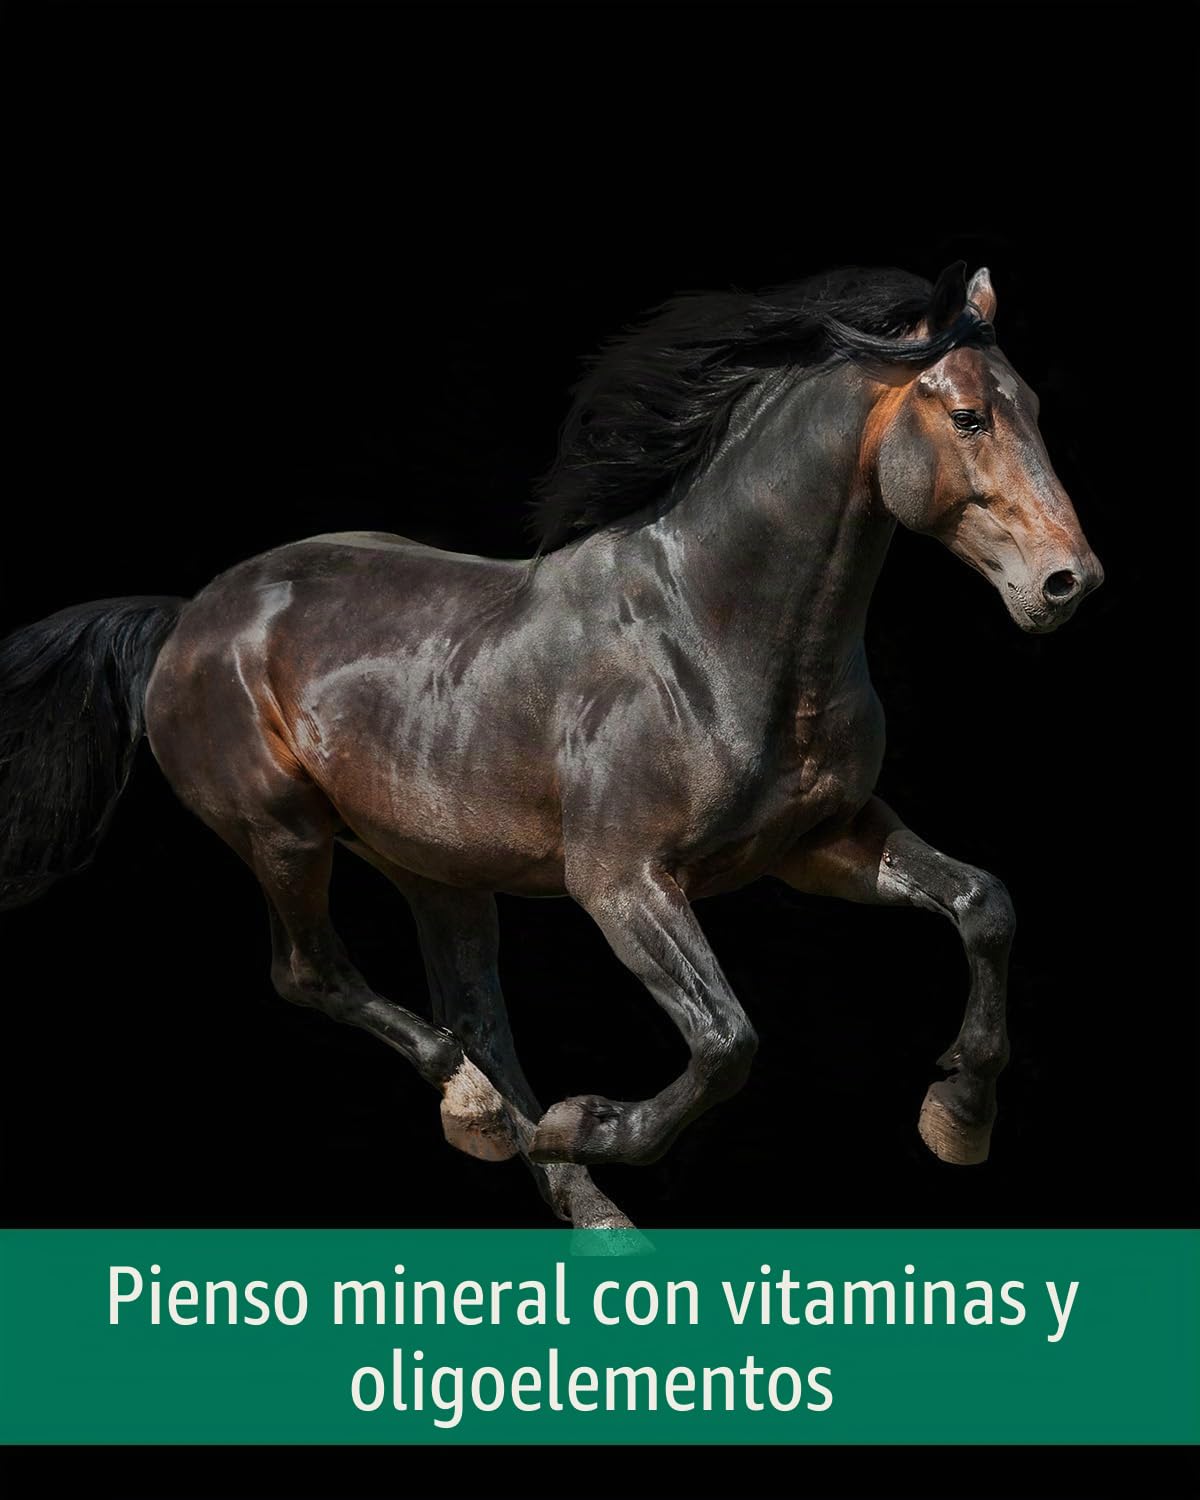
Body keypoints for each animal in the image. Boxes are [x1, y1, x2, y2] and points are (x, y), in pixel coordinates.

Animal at [0, 262, 1102, 1231]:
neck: (710, 630)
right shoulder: (620, 880)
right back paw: (485, 1115)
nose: (1068, 582)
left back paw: (579, 1197)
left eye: (1035, 406)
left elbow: (984, 905)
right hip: (284, 836)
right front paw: (592, 1121)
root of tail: (186, 618)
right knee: (315, 976)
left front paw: (957, 1118)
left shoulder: (822, 844)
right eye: (969, 417)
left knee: (473, 1012)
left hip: (435, 868)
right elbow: (727, 1040)